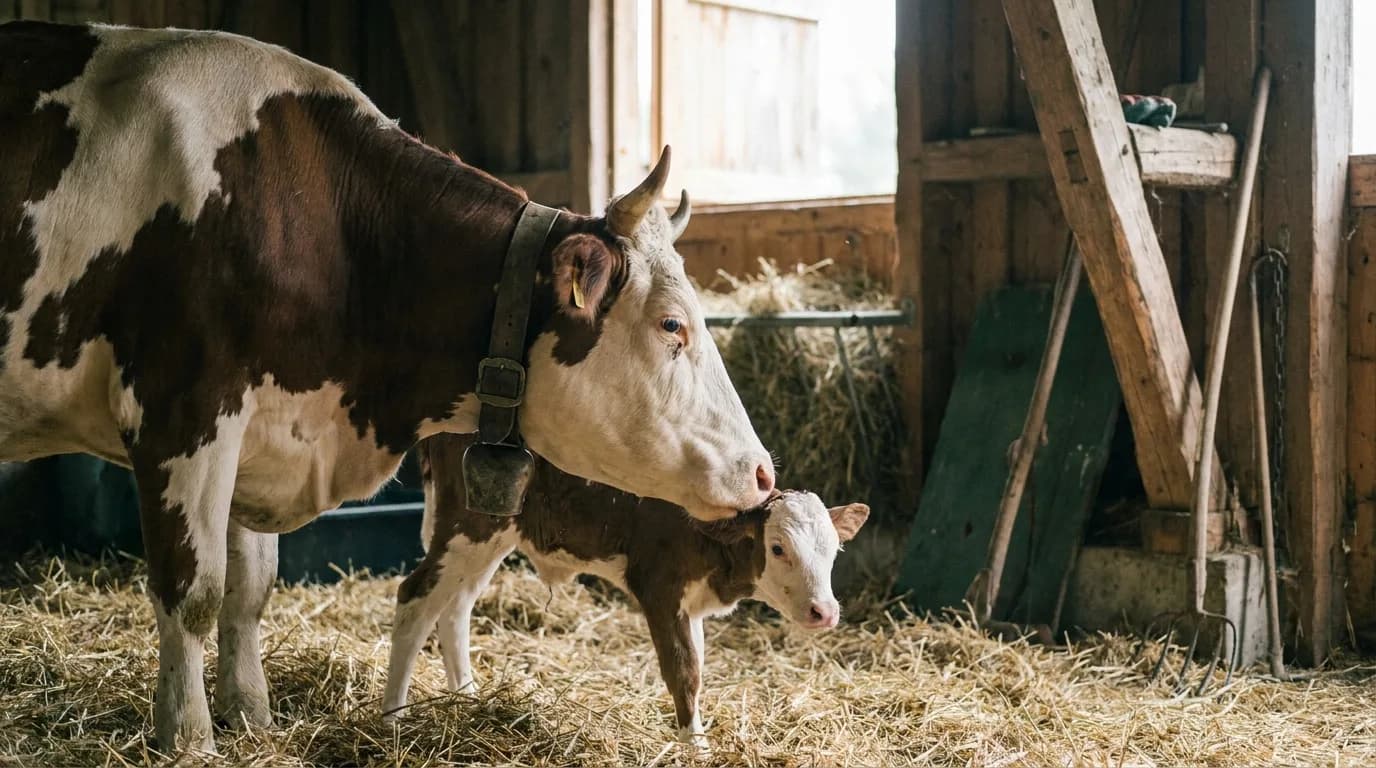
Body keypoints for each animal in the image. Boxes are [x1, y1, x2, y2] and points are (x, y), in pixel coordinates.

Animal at [0, 22, 775, 751]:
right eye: (673, 324)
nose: (763, 472)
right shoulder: (181, 411)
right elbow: (193, 592)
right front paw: (190, 738)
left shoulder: (257, 428)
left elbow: (248, 590)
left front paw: (253, 719)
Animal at [383, 434, 870, 745]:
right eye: (778, 547)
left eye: (833, 550)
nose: (824, 612)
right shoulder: (658, 585)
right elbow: (683, 671)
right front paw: (695, 748)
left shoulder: (690, 603)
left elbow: (697, 667)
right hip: (470, 526)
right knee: (415, 600)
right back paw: (392, 718)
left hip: (490, 536)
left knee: (455, 607)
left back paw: (466, 698)